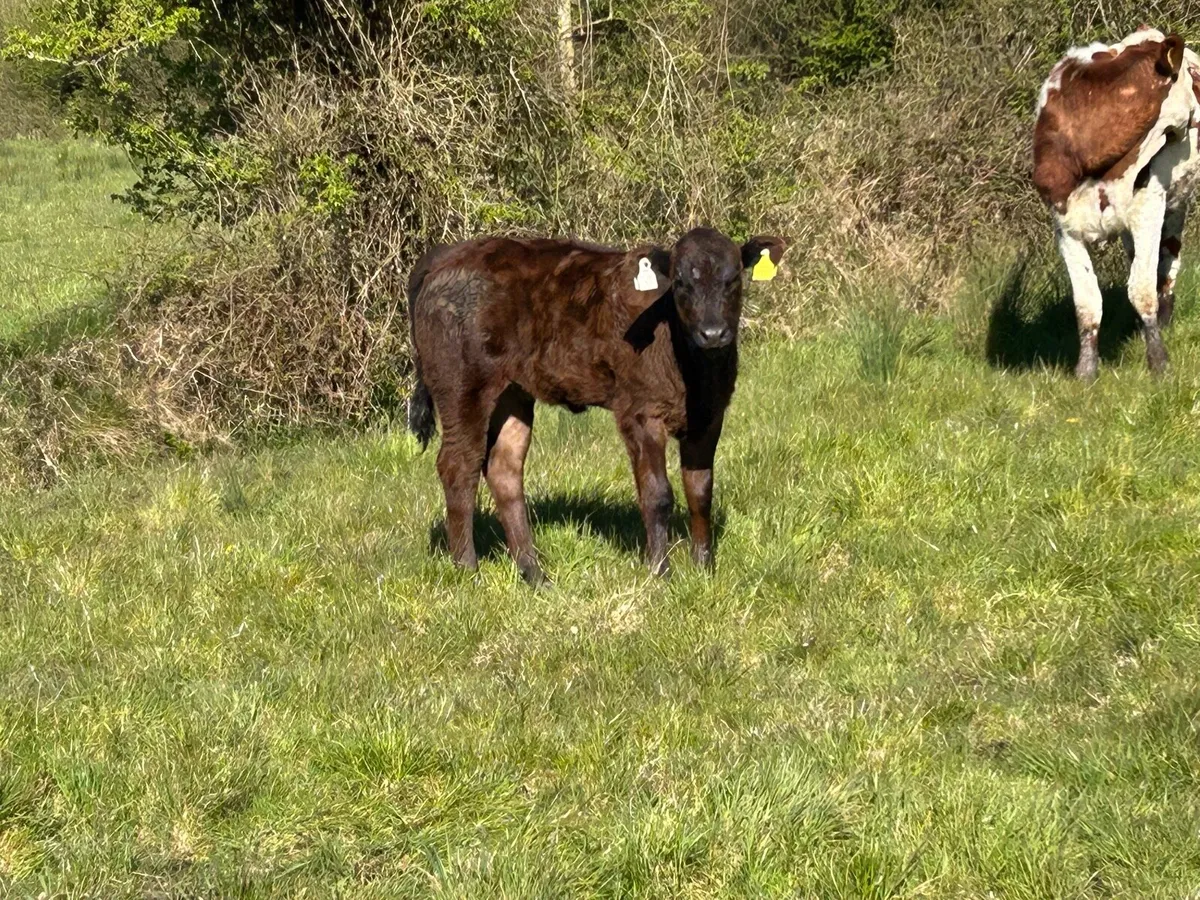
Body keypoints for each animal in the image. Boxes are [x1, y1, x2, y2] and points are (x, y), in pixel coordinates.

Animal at [406, 227, 787, 584]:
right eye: (680, 283)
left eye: (733, 277)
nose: (712, 333)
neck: (692, 371)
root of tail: (448, 254)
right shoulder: (639, 411)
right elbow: (657, 493)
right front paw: (659, 572)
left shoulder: (709, 415)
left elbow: (700, 490)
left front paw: (705, 570)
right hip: (462, 386)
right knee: (459, 465)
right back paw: (467, 568)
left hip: (512, 394)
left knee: (504, 469)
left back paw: (535, 574)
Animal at [1033, 27, 1200, 380]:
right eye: (1192, 83)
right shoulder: (1064, 227)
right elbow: (1086, 301)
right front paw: (1085, 370)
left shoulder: (1148, 208)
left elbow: (1142, 289)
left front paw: (1158, 362)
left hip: (1175, 202)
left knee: (1168, 261)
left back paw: (1164, 317)